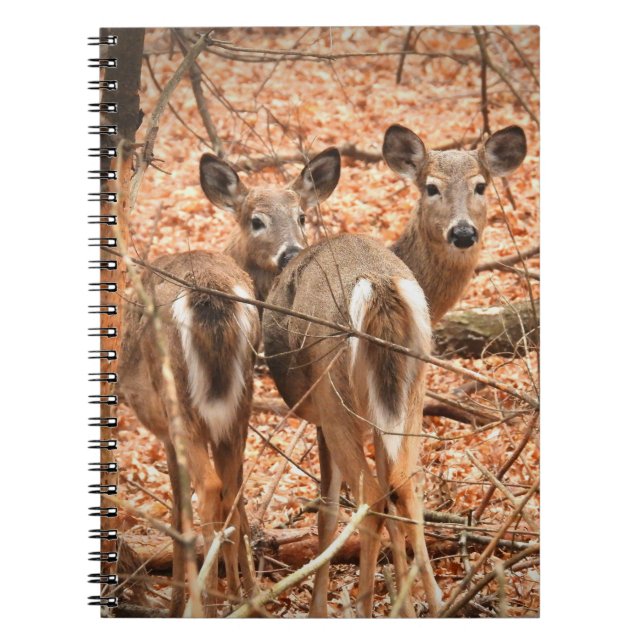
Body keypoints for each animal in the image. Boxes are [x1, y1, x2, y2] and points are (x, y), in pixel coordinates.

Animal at [119, 147, 341, 616]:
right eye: (256, 220)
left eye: (301, 216)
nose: (291, 253)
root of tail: (210, 296)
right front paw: (237, 589)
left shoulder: (165, 431)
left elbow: (178, 506)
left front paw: (180, 599)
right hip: (241, 400)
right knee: (234, 489)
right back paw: (250, 597)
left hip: (179, 401)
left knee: (210, 488)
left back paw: (200, 603)